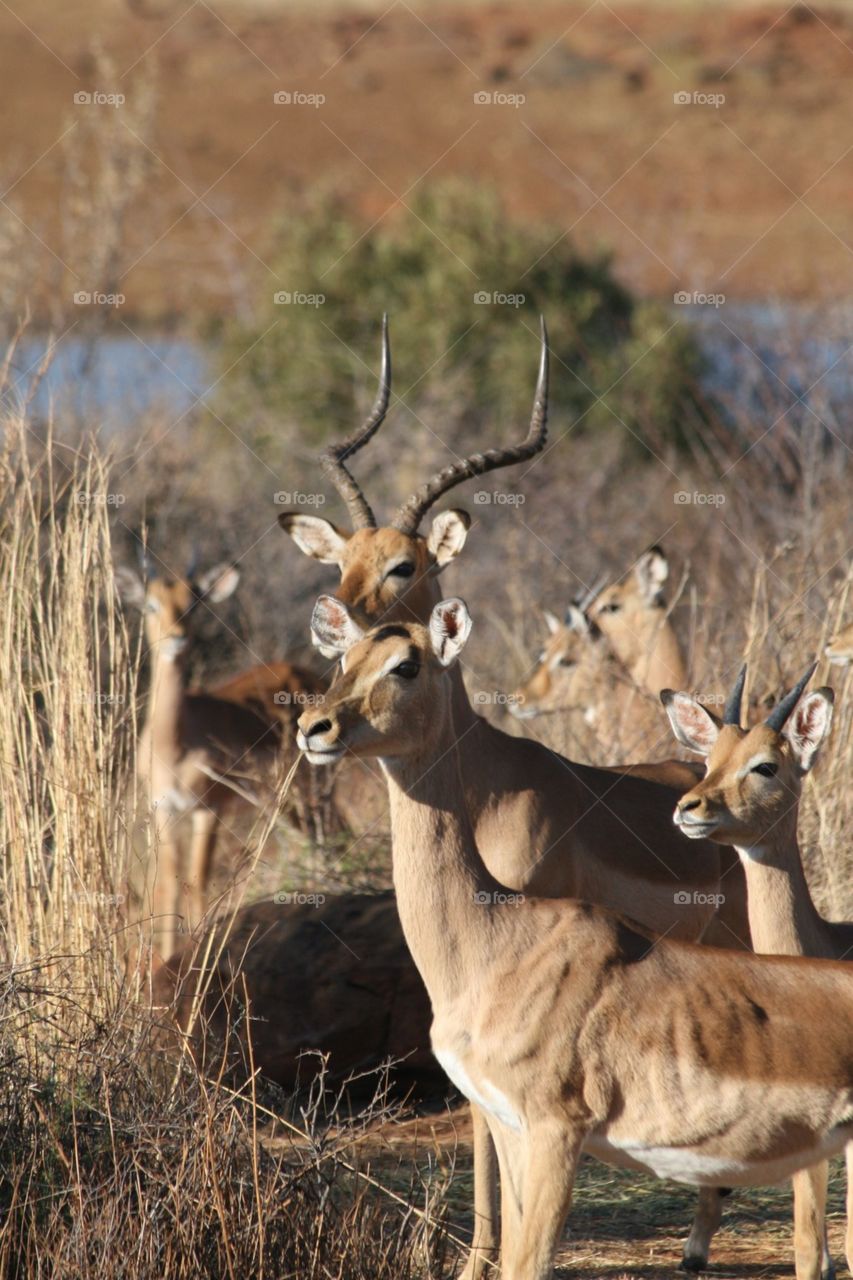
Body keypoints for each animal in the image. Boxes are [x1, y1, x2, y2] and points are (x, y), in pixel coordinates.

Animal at [117, 561, 281, 960]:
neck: (174, 745)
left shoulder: (209, 809)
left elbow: (197, 880)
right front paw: (166, 957)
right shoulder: (164, 808)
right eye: (151, 605)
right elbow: (168, 885)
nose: (177, 638)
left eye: (193, 604)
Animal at [278, 316, 750, 1277]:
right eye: (342, 557)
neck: (480, 786)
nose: (333, 620)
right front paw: (475, 1255)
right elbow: (478, 1111)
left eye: (404, 564)